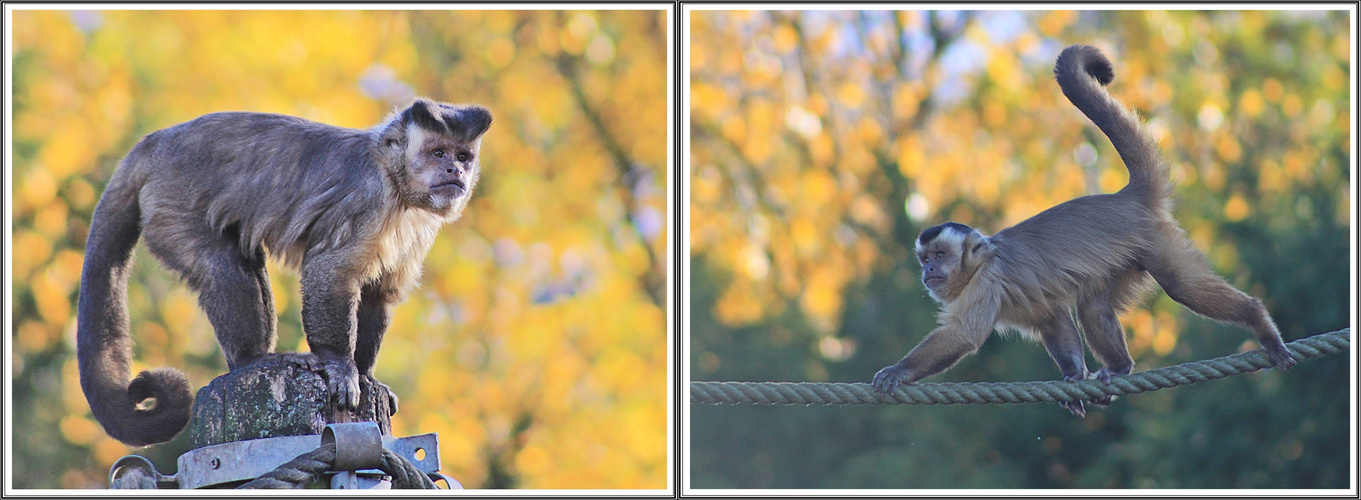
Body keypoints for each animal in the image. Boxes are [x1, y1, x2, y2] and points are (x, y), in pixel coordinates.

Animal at [77, 98, 492, 446]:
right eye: (437, 152)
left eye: (463, 156)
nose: (454, 169)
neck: (394, 178)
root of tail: (158, 141)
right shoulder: (369, 198)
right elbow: (331, 272)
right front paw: (340, 365)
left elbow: (379, 293)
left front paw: (366, 374)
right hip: (172, 201)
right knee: (221, 266)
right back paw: (252, 360)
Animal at [871, 43, 1295, 419]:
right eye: (925, 259)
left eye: (940, 256)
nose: (928, 270)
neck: (981, 262)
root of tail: (1127, 197)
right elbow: (1055, 320)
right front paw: (1075, 378)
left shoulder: (989, 280)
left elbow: (963, 335)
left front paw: (898, 371)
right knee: (1094, 307)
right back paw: (1121, 367)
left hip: (1155, 240)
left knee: (1181, 286)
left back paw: (1257, 319)